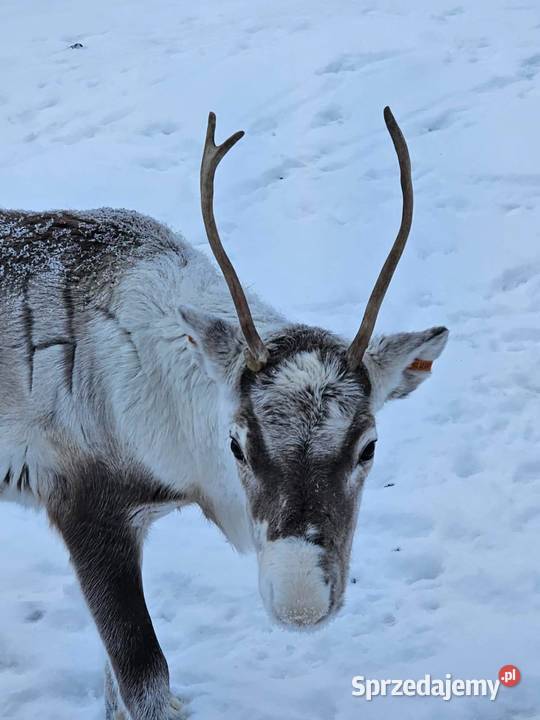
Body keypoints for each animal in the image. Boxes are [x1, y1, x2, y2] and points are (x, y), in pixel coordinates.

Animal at [0, 107, 448, 720]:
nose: (300, 603)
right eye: (236, 444)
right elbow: (145, 681)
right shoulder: (87, 510)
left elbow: (115, 688)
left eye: (369, 447)